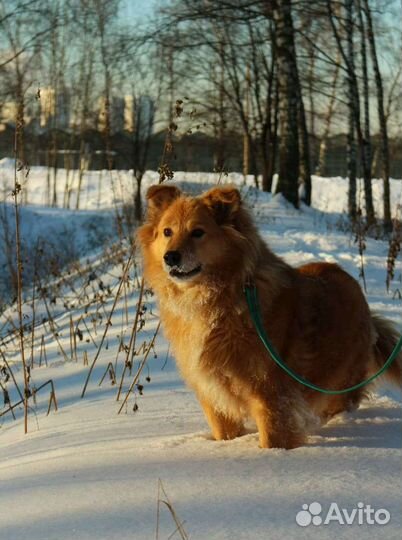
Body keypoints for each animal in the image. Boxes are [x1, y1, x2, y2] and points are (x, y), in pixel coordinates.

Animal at [137, 185, 398, 448]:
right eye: (167, 232)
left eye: (198, 232)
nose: (170, 257)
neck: (218, 299)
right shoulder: (213, 395)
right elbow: (224, 433)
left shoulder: (271, 394)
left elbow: (272, 438)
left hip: (337, 383)